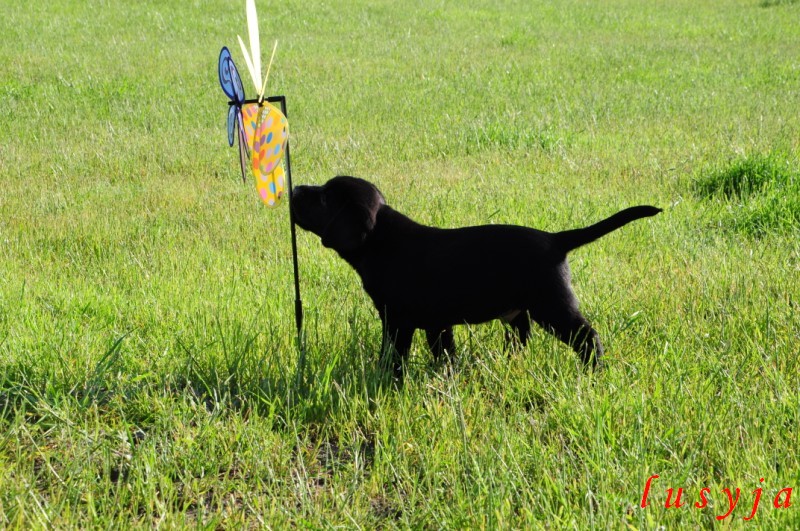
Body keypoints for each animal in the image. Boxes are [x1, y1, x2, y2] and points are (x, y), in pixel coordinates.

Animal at [291, 176, 661, 378]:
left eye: (324, 197)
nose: (293, 189)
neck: (383, 242)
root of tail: (556, 239)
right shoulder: (437, 324)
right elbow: (445, 355)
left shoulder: (397, 320)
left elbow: (393, 356)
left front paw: (387, 380)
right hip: (519, 314)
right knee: (521, 341)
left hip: (552, 306)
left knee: (588, 337)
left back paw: (593, 372)